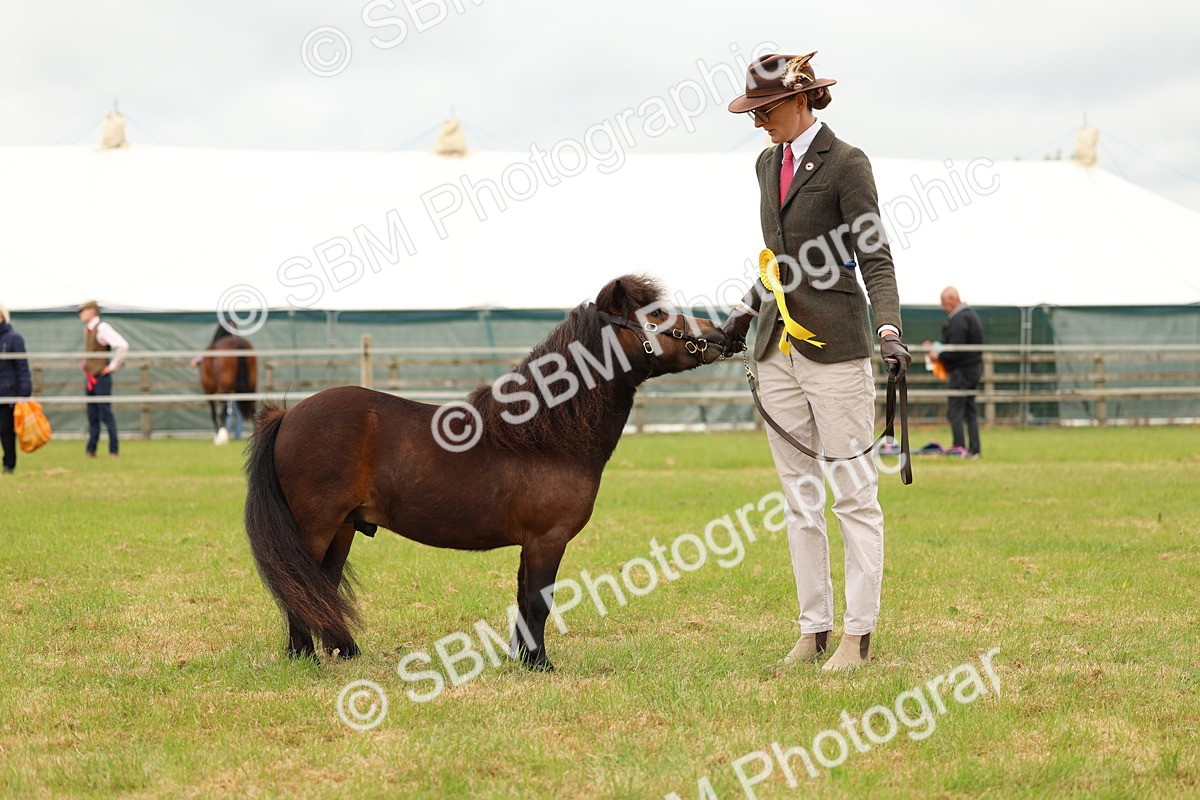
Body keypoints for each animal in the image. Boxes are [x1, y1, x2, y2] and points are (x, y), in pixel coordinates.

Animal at [243, 275, 727, 670]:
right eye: (656, 315)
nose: (720, 334)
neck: (545, 436)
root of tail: (288, 415)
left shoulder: (531, 543)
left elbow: (523, 599)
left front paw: (523, 660)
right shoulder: (547, 539)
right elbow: (538, 601)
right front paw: (541, 666)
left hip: (343, 527)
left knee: (319, 586)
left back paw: (342, 652)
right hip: (316, 526)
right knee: (299, 584)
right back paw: (306, 658)